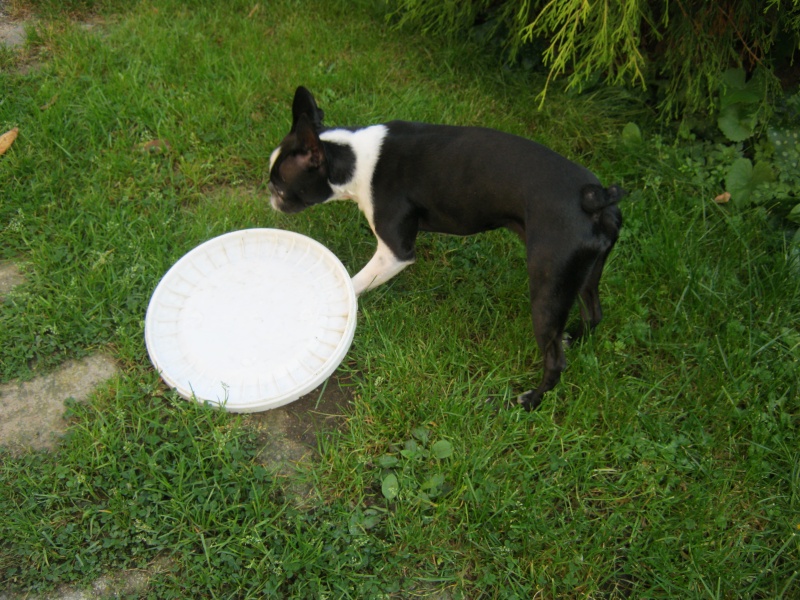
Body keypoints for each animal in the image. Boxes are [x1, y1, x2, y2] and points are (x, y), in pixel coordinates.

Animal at [266, 86, 620, 410]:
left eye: (281, 188)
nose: (270, 195)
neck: (352, 158)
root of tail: (596, 198)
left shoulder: (394, 252)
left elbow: (353, 285)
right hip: (584, 273)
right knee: (594, 313)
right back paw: (572, 337)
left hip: (549, 281)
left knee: (554, 359)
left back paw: (531, 400)